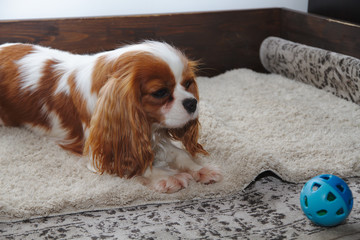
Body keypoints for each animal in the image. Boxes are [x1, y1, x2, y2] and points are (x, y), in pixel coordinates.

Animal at [0, 41, 222, 193]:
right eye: (160, 92)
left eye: (188, 83)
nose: (192, 102)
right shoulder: (99, 151)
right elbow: (135, 165)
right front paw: (168, 176)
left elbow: (180, 154)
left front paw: (199, 168)